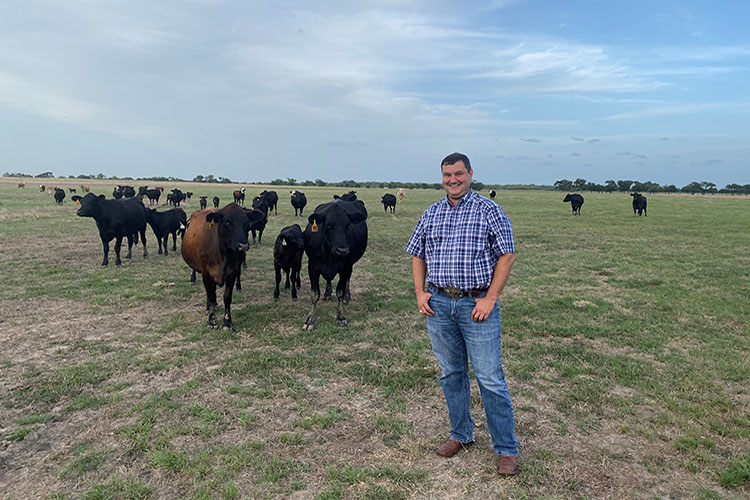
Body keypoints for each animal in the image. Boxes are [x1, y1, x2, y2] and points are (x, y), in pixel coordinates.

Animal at [181, 201, 266, 330]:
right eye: (227, 222)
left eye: (246, 222)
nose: (243, 245)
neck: (222, 253)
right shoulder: (206, 274)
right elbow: (211, 296)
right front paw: (212, 322)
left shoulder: (232, 273)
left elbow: (227, 298)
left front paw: (227, 322)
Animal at [302, 199, 368, 332]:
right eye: (328, 226)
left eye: (348, 226)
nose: (342, 250)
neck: (329, 255)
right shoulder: (312, 267)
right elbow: (314, 294)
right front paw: (310, 319)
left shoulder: (345, 267)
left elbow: (340, 292)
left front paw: (341, 316)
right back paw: (327, 293)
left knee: (348, 279)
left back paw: (347, 296)